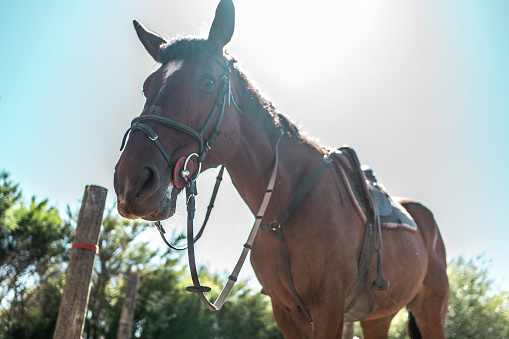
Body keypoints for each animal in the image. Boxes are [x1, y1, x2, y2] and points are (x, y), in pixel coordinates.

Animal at [113, 1, 446, 338]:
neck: (285, 207)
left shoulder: (329, 307)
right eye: (146, 88)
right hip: (378, 316)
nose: (131, 182)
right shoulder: (285, 311)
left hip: (431, 310)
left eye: (207, 82)